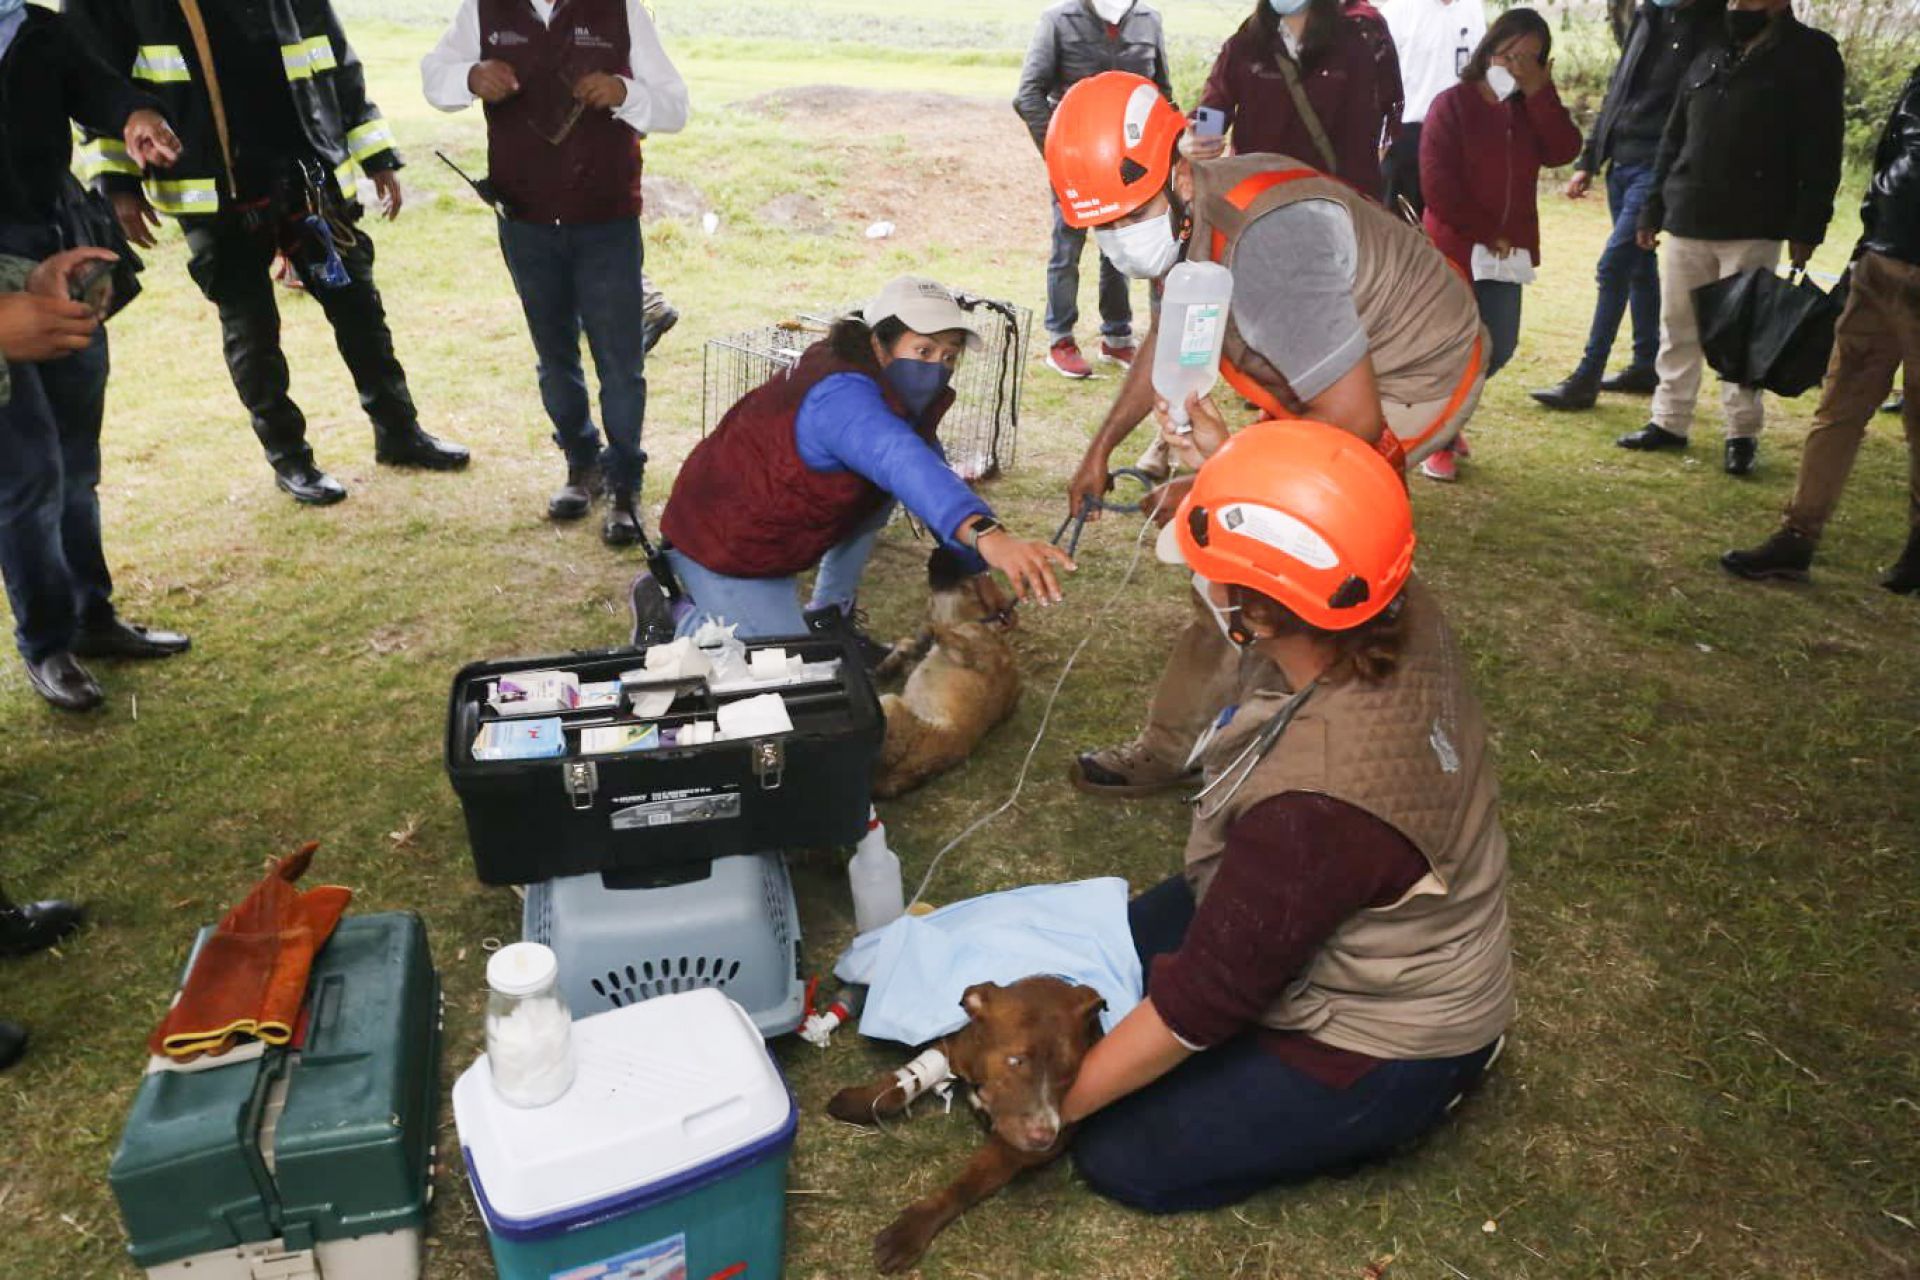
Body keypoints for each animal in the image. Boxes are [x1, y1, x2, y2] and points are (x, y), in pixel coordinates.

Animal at [821, 982, 1098, 1274]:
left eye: (1070, 1073)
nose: (1044, 1136)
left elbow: (965, 1185)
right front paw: (862, 1101)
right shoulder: (954, 1047)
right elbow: (899, 1086)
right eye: (1014, 1061)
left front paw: (912, 1229)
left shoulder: (1012, 1151)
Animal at [871, 552, 1021, 802]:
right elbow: (910, 643)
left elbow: (938, 630)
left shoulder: (967, 647)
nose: (937, 551)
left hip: (890, 702)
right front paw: (892, 661)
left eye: (965, 582)